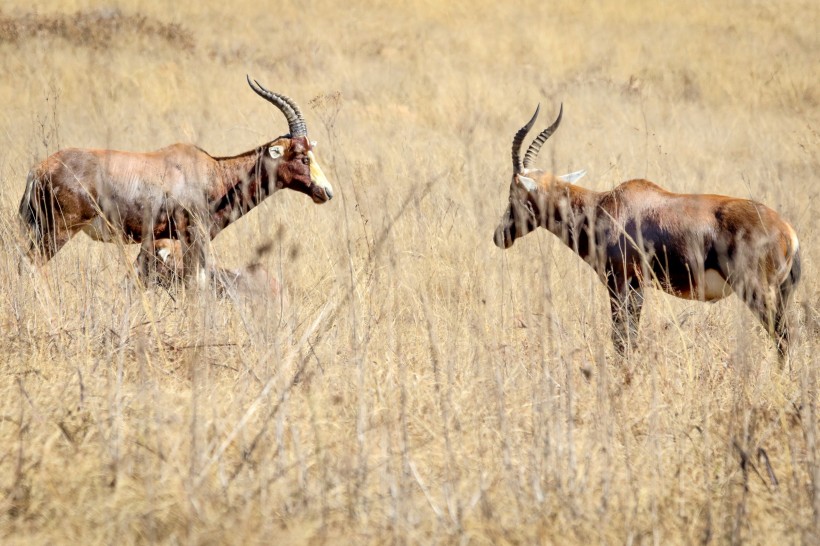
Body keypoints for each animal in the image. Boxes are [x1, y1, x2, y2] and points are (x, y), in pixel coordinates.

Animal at [16, 76, 332, 282]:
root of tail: (38, 170)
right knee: (32, 265)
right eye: (303, 157)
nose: (326, 192)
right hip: (57, 232)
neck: (213, 171)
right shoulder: (193, 237)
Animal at [494, 104, 800, 360]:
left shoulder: (622, 283)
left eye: (513, 192)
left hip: (757, 292)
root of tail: (788, 232)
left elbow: (622, 339)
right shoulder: (636, 286)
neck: (605, 205)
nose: (499, 236)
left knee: (781, 337)